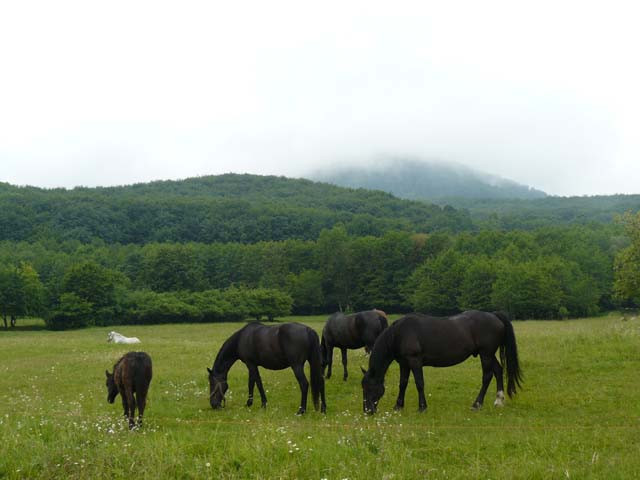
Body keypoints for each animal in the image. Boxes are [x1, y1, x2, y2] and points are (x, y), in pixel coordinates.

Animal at [360, 312, 520, 412]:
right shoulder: (404, 363)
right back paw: (499, 401)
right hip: (489, 354)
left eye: (369, 387)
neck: (399, 333)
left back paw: (477, 404)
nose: (368, 411)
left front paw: (422, 407)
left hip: (485, 354)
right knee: (498, 370)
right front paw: (398, 407)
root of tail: (494, 315)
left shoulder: (415, 361)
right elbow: (403, 384)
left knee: (487, 376)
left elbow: (419, 383)